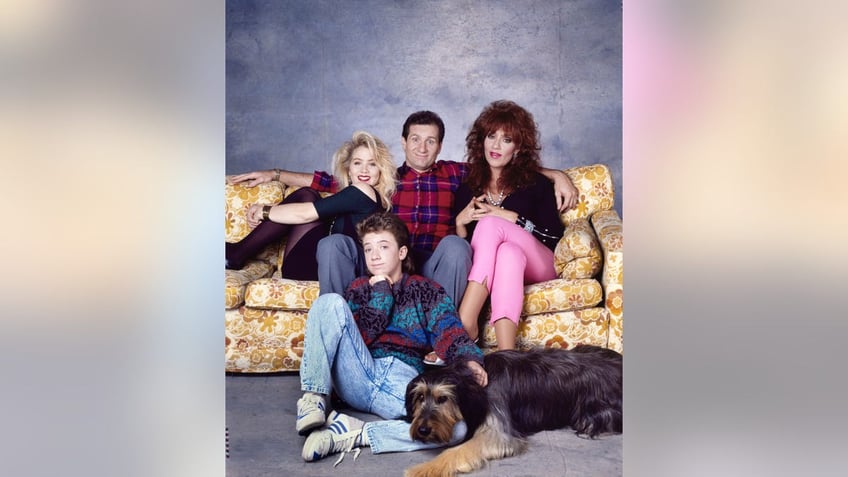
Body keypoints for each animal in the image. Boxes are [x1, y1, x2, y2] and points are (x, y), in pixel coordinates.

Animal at [400, 346, 620, 476]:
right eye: (420, 397)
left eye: (443, 399)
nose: (423, 430)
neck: (474, 384)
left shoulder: (497, 432)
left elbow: (455, 451)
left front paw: (423, 469)